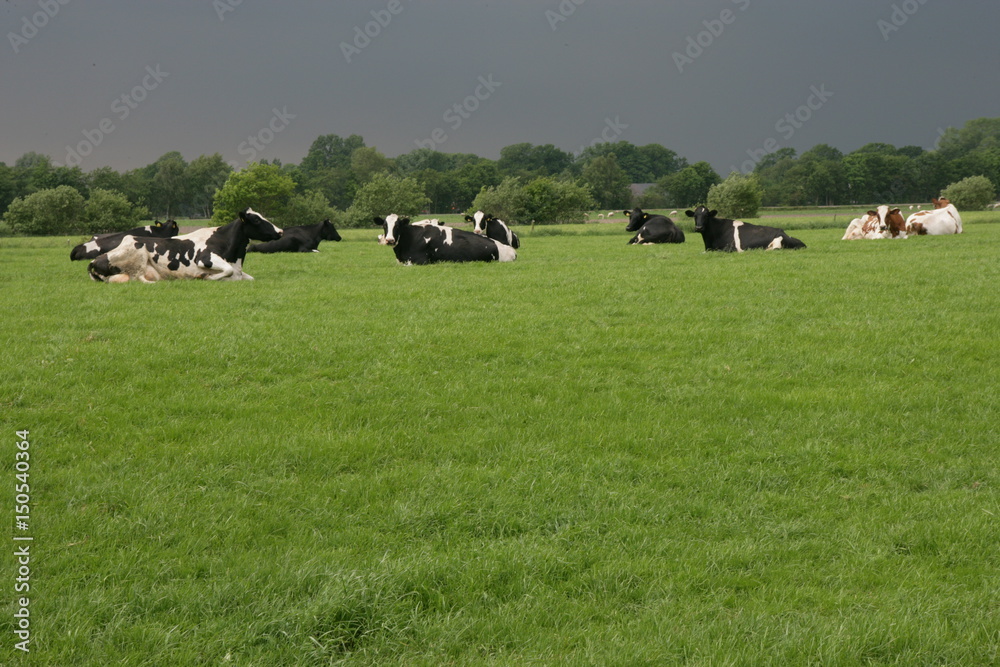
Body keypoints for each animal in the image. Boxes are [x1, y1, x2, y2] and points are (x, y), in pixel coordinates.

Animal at [88, 209, 284, 282]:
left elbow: (249, 278)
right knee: (139, 279)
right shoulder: (204, 258)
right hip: (138, 254)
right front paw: (205, 277)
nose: (281, 231)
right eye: (256, 220)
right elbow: (226, 270)